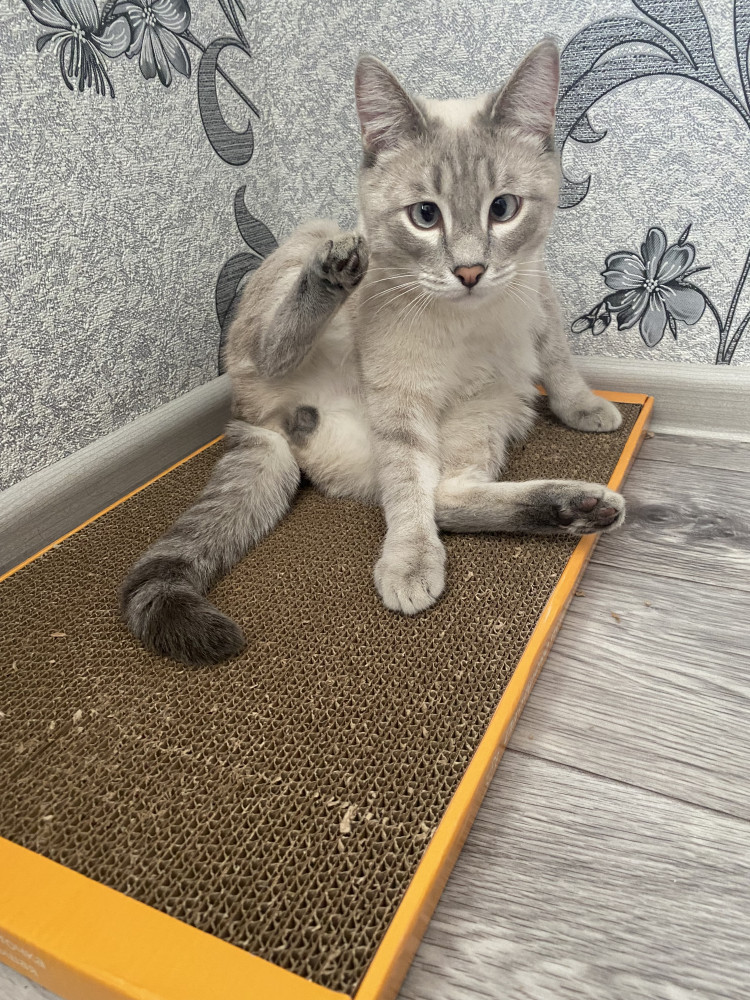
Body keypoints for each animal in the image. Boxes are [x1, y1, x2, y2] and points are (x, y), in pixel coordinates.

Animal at [121, 39, 625, 667]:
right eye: (426, 216)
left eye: (503, 209)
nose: (469, 271)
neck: (469, 317)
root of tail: (259, 418)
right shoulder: (399, 395)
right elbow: (408, 493)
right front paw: (409, 564)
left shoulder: (539, 295)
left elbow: (558, 364)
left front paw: (585, 409)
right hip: (307, 255)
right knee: (277, 353)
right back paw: (336, 270)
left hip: (491, 406)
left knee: (448, 495)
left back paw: (575, 510)